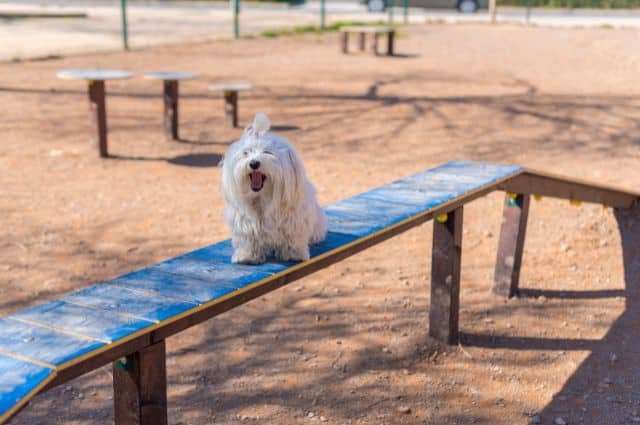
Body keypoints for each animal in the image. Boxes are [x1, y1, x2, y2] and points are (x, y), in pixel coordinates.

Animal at [222, 114, 328, 264]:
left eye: (267, 152)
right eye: (246, 153)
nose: (254, 163)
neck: (263, 198)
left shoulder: (294, 220)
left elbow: (292, 237)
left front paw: (293, 254)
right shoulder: (245, 223)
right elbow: (249, 239)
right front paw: (247, 255)